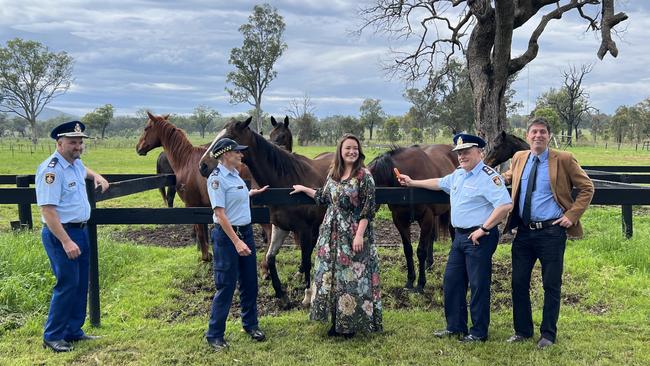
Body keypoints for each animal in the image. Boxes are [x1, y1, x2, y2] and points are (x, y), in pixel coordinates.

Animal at [135, 113, 211, 262]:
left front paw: (205, 256)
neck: (187, 161)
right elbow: (204, 232)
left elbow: (200, 232)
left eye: (146, 128)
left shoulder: (193, 205)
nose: (138, 147)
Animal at [197, 117, 332, 306]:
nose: (202, 165)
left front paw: (307, 295)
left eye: (231, 137)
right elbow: (270, 257)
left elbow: (306, 259)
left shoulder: (304, 229)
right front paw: (281, 294)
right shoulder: (280, 227)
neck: (286, 184)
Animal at [368, 145, 454, 292]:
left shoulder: (426, 217)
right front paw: (410, 281)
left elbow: (420, 251)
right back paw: (429, 264)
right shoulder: (399, 219)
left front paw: (420, 284)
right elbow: (408, 250)